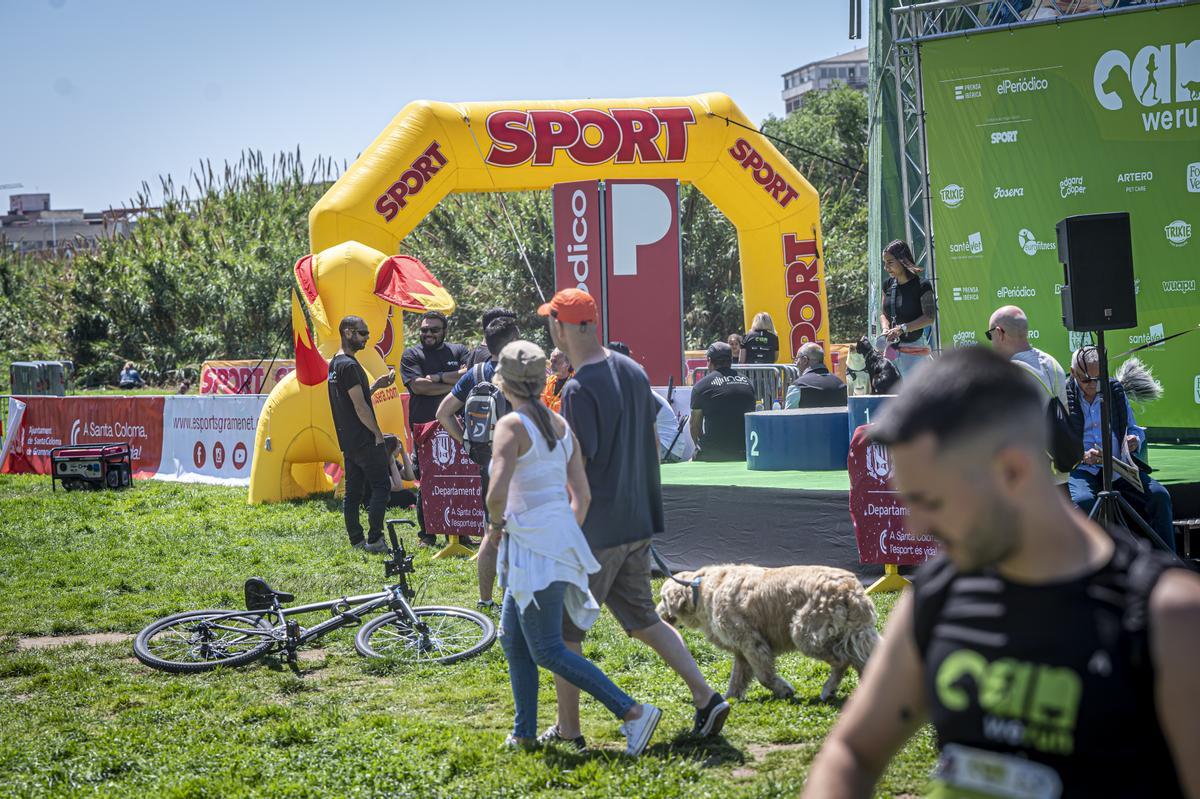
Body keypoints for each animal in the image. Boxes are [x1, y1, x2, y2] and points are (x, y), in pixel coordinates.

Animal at [662, 559, 878, 695]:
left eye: (662, 599)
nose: (658, 613)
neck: (701, 588)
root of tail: (849, 588)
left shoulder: (751, 642)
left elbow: (764, 676)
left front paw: (784, 690)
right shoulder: (741, 651)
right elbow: (737, 679)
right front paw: (728, 698)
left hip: (803, 633)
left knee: (842, 661)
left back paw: (828, 689)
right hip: (854, 635)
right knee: (859, 661)